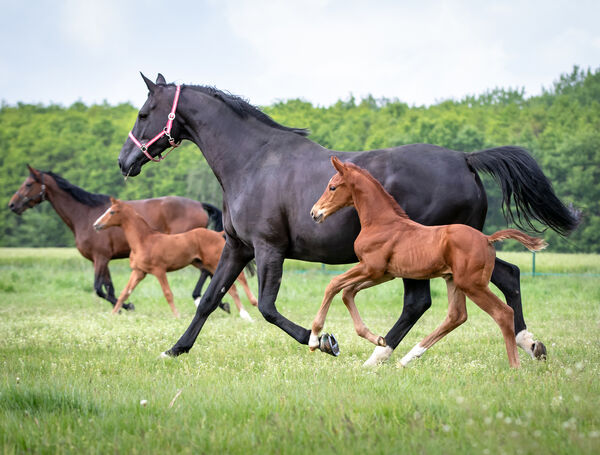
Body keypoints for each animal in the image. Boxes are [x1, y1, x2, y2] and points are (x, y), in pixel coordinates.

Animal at [8, 166, 225, 312]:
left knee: (206, 271)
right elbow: (109, 288)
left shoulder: (100, 258)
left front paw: (127, 306)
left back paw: (201, 299)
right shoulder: (103, 259)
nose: (12, 205)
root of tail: (199, 204)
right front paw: (122, 307)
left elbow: (99, 288)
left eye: (28, 184)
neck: (84, 214)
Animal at [92, 199, 256, 320]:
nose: (96, 225)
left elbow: (168, 294)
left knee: (241, 279)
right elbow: (125, 293)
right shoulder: (139, 272)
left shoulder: (159, 270)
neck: (143, 240)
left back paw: (249, 309)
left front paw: (177, 315)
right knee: (232, 287)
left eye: (112, 212)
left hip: (215, 261)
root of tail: (217, 234)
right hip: (202, 263)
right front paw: (113, 314)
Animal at [310, 159, 548, 368]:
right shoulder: (384, 273)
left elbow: (333, 284)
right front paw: (376, 338)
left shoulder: (371, 268)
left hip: (472, 285)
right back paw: (407, 358)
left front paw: (314, 337)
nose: (314, 213)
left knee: (503, 313)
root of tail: (487, 239)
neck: (381, 223)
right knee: (456, 316)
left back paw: (515, 366)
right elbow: (347, 292)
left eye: (332, 187)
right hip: (453, 280)